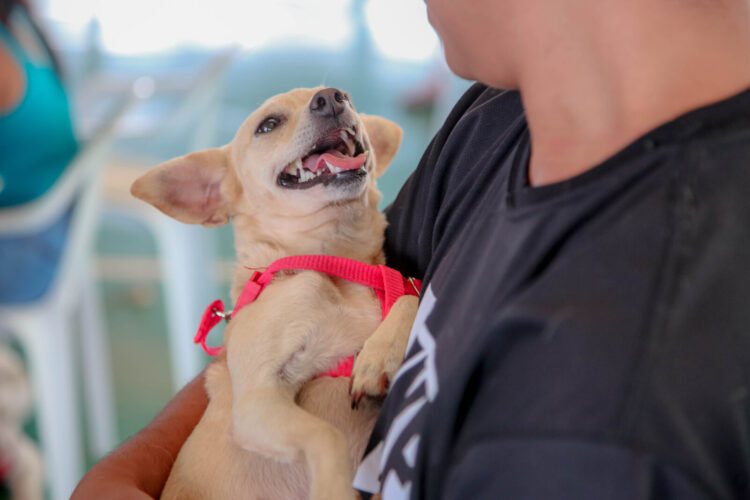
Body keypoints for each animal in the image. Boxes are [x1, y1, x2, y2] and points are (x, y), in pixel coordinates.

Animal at [132, 88, 420, 498]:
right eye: (268, 125)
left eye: (344, 96)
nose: (332, 97)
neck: (335, 263)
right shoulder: (257, 402)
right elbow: (326, 435)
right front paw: (334, 489)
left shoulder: (398, 284)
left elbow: (410, 294)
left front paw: (380, 357)